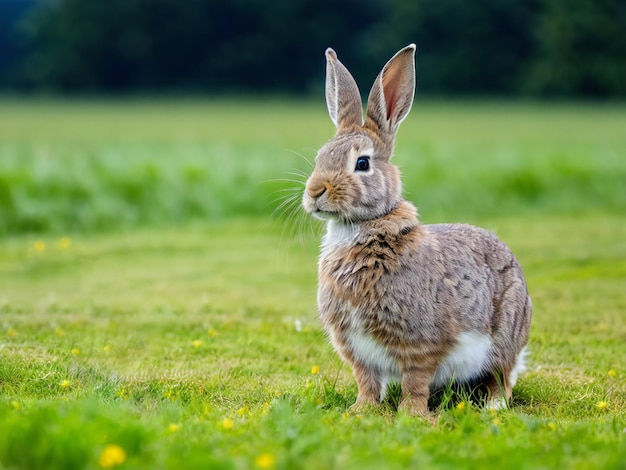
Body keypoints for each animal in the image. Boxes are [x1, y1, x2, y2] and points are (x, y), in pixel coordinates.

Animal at [302, 45, 532, 418]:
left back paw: (493, 407)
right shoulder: (356, 347)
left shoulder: (420, 342)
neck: (366, 228)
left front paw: (412, 415)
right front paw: (360, 410)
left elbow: (415, 382)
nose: (314, 192)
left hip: (505, 337)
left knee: (502, 377)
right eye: (320, 156)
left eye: (362, 163)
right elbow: (367, 381)